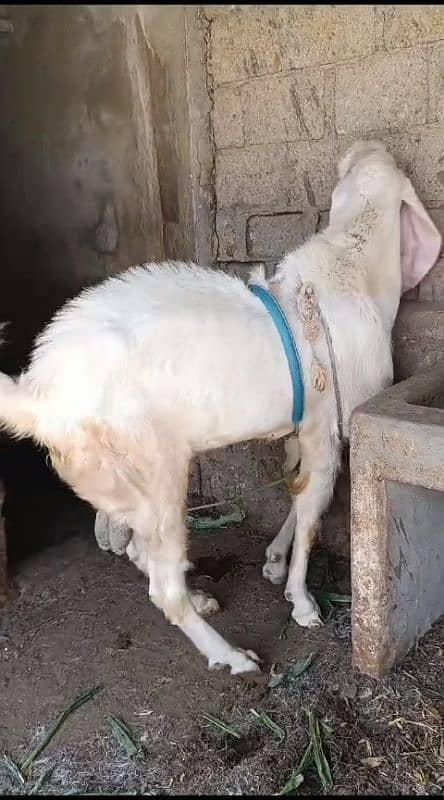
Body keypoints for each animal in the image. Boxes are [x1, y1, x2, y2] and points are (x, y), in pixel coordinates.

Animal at [0, 141, 438, 672]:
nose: (369, 146)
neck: (353, 265)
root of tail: (40, 394)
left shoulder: (298, 428)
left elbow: (295, 491)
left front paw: (274, 562)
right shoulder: (329, 425)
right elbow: (314, 507)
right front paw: (303, 604)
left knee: (142, 553)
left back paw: (202, 598)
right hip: (151, 472)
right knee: (162, 587)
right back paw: (234, 657)